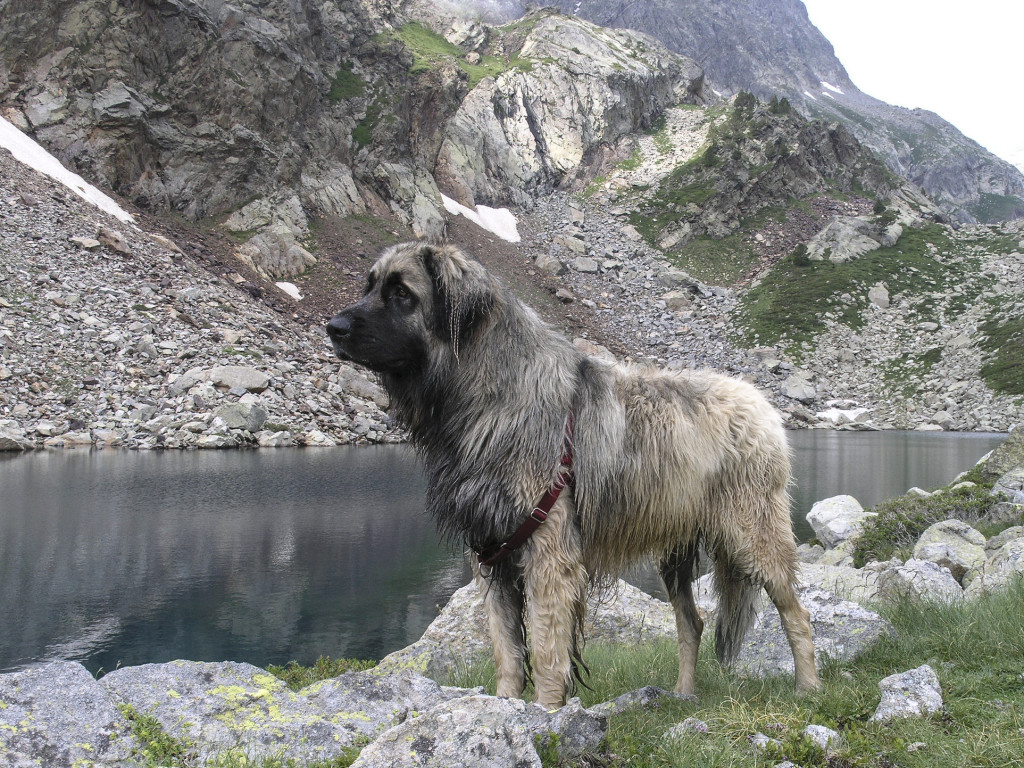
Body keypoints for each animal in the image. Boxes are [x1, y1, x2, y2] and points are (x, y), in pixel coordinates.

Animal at [323, 241, 819, 708]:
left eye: (402, 294)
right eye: (370, 286)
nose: (334, 327)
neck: (491, 393)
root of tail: (760, 403)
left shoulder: (548, 551)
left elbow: (545, 651)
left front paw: (546, 713)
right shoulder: (491, 554)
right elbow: (507, 650)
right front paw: (506, 706)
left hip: (753, 534)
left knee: (796, 614)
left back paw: (808, 688)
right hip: (673, 547)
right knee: (691, 622)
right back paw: (683, 695)